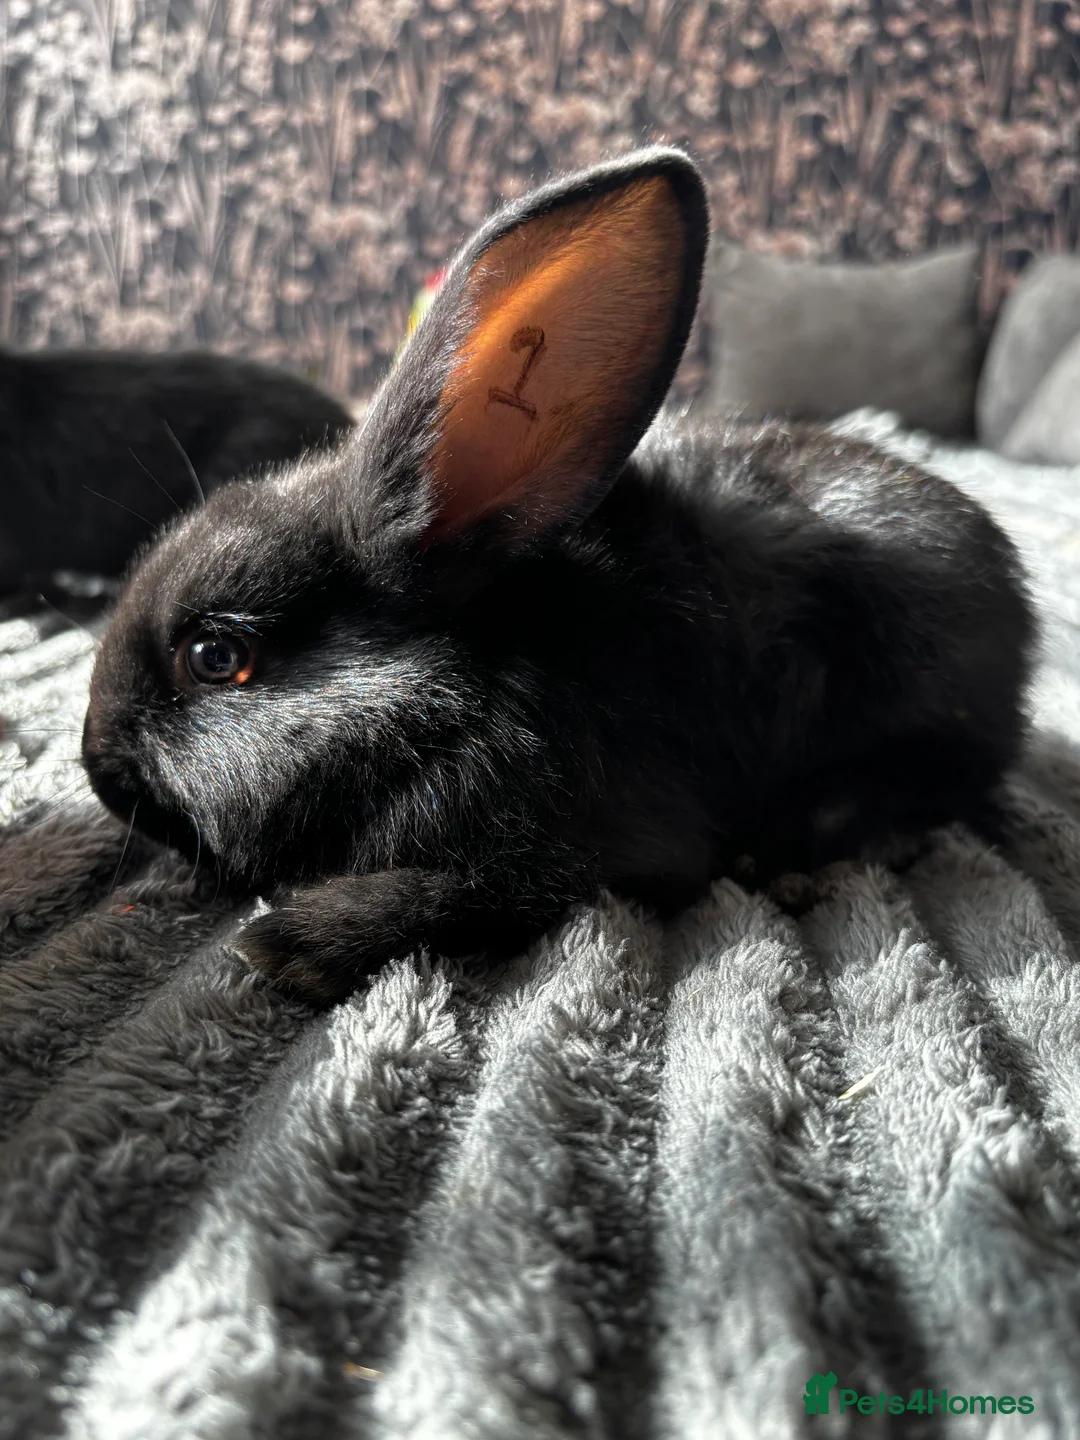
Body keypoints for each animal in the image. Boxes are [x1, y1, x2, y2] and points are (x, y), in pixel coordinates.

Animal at [82, 147, 1035, 1003]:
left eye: (216, 658)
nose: (99, 769)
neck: (464, 692)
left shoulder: (602, 851)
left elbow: (472, 892)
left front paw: (291, 945)